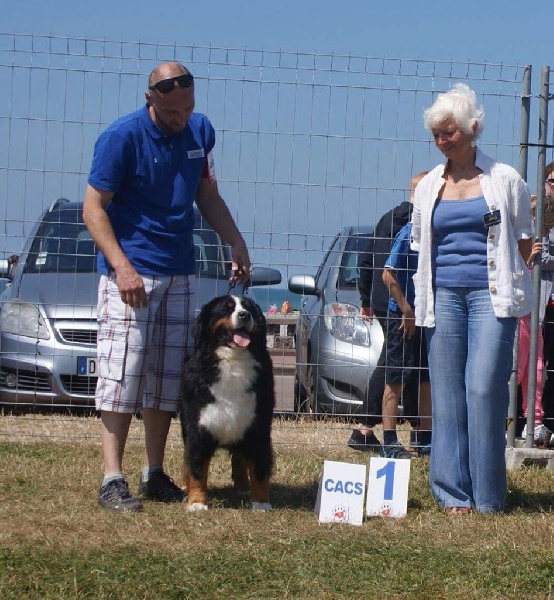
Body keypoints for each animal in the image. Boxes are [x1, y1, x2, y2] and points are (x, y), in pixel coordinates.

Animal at [180, 294, 275, 511]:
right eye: (227, 308)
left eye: (249, 308)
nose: (244, 315)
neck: (233, 363)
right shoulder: (197, 427)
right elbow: (196, 467)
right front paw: (196, 502)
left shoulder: (258, 426)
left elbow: (259, 468)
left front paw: (261, 502)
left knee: (239, 458)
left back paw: (242, 486)